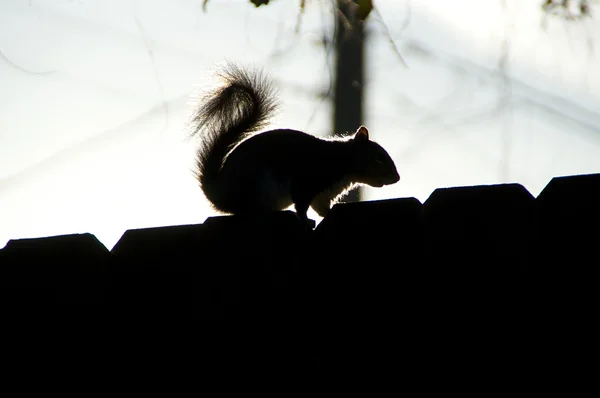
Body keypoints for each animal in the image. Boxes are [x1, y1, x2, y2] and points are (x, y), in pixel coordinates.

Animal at [190, 63, 400, 222]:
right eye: (378, 158)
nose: (397, 178)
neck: (340, 160)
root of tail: (218, 192)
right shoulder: (306, 182)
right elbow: (301, 205)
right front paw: (305, 220)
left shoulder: (322, 195)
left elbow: (321, 208)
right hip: (256, 188)